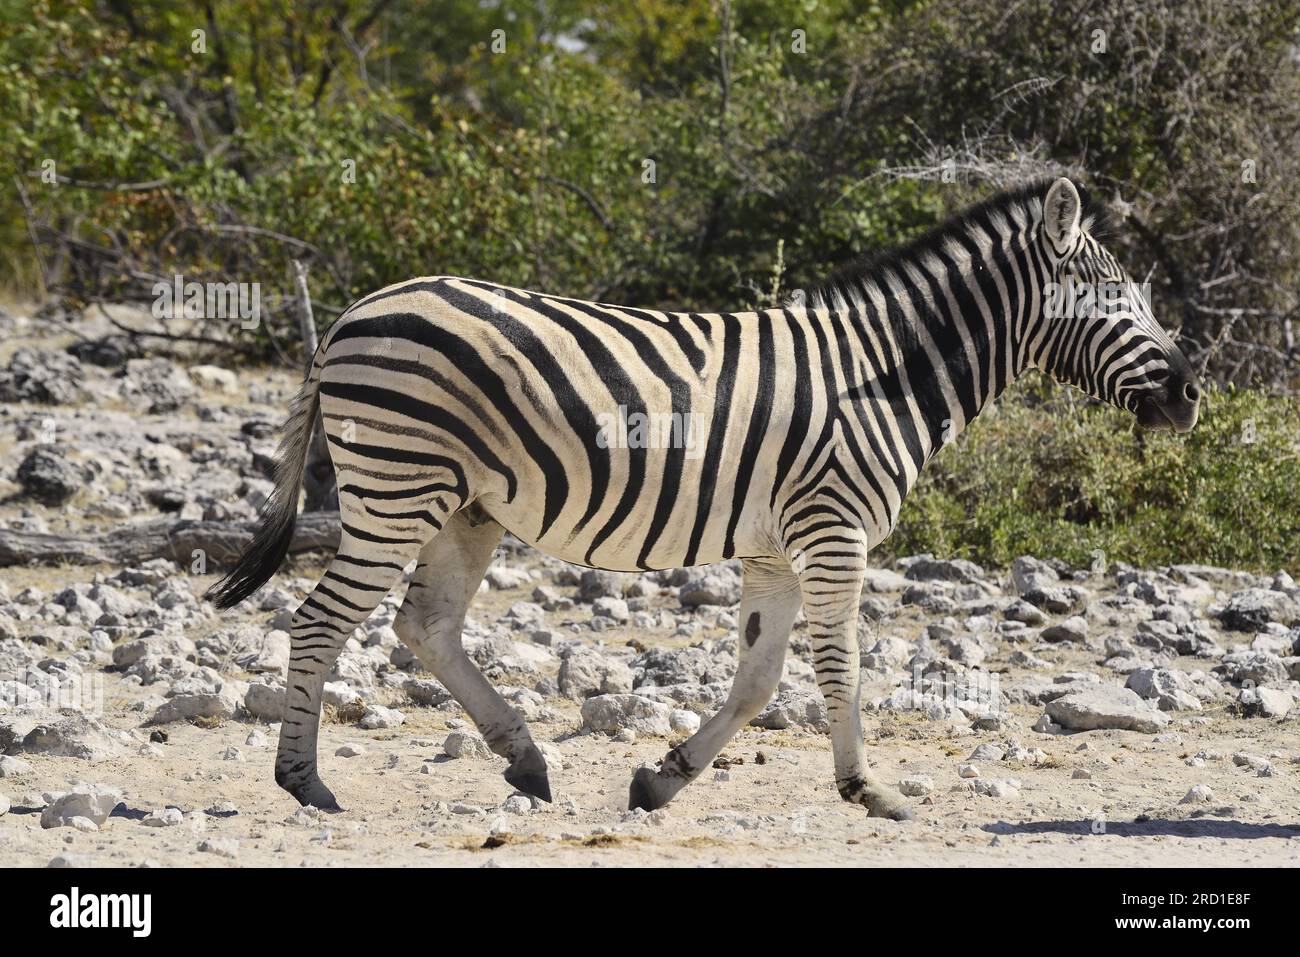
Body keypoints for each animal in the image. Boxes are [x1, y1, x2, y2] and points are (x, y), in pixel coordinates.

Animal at [206, 177, 1201, 819]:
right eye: (1117, 294)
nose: (1194, 396)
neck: (885, 375)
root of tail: (350, 312)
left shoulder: (775, 545)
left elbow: (759, 679)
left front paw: (662, 779)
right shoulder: (833, 530)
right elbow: (840, 666)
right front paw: (868, 789)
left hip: (464, 505)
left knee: (426, 626)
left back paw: (525, 761)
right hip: (398, 489)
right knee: (319, 621)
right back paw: (305, 782)